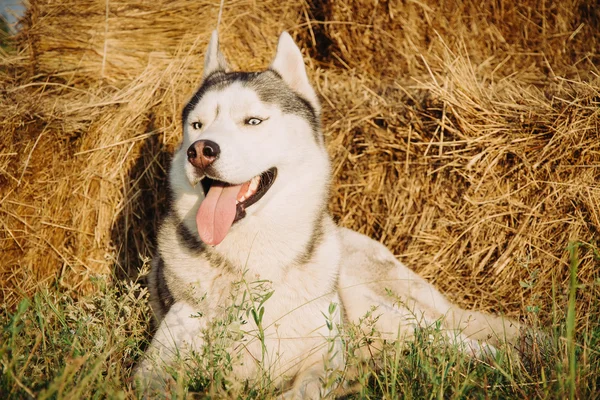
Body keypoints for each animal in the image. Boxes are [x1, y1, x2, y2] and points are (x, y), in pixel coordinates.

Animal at [137, 30, 524, 396]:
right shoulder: (152, 369)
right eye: (197, 126)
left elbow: (304, 389)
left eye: (253, 121)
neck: (257, 260)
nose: (200, 151)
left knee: (458, 339)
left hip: (387, 315)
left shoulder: (325, 359)